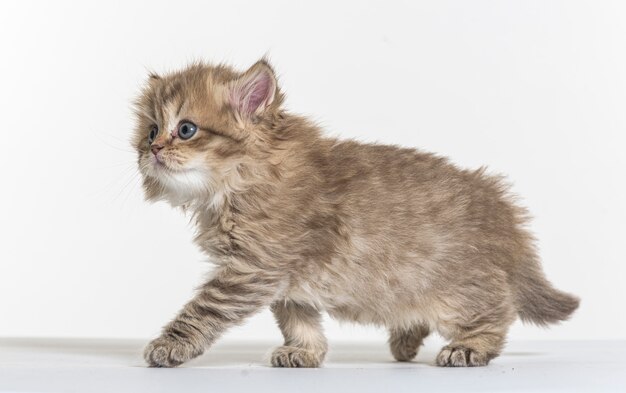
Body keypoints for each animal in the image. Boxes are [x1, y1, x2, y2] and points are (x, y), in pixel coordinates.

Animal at [132, 59, 576, 368]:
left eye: (186, 130)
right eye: (151, 131)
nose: (151, 150)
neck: (237, 184)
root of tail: (500, 208)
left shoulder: (253, 268)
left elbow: (201, 309)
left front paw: (170, 345)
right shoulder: (284, 278)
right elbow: (297, 318)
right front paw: (305, 352)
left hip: (460, 287)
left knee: (497, 311)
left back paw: (469, 347)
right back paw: (405, 342)